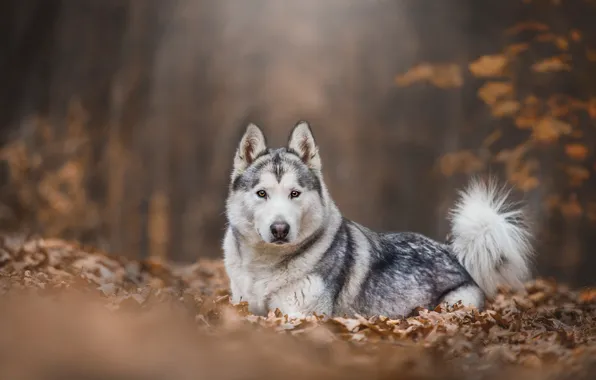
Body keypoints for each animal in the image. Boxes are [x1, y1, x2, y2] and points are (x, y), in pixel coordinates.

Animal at [222, 121, 532, 318]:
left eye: (294, 193)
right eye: (262, 193)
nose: (280, 229)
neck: (265, 269)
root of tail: (453, 251)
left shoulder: (302, 316)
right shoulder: (244, 307)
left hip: (453, 304)